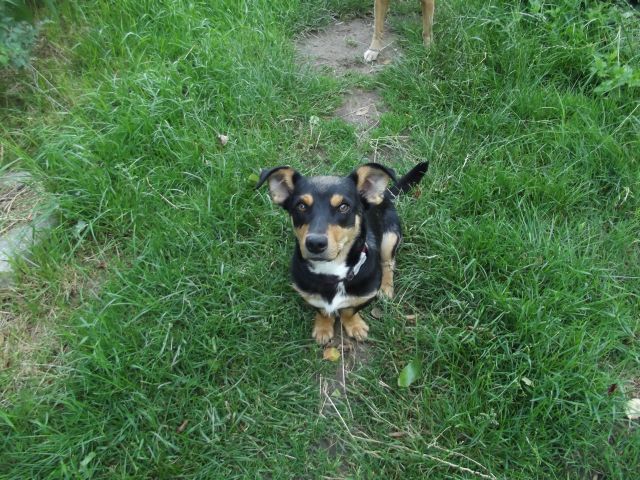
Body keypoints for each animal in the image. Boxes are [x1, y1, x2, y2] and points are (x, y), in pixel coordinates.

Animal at [257, 162, 428, 344]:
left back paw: (386, 287)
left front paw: (355, 325)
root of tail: (385, 195)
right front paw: (323, 327)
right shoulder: (308, 294)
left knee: (388, 263)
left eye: (343, 207)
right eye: (301, 206)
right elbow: (322, 310)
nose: (315, 243)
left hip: (390, 237)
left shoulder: (365, 295)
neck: (331, 271)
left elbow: (349, 310)